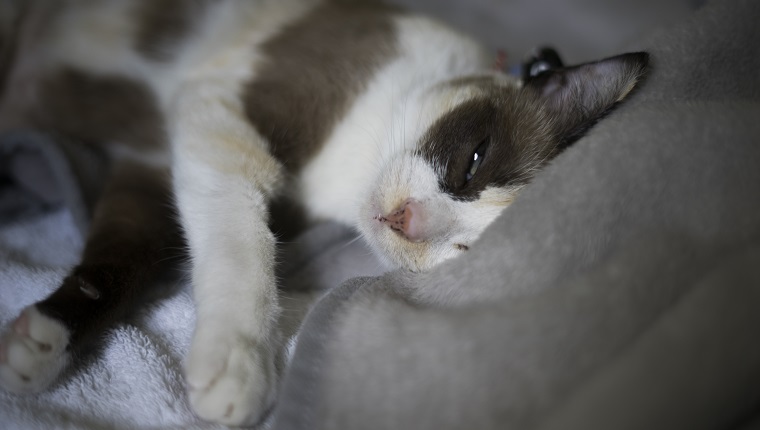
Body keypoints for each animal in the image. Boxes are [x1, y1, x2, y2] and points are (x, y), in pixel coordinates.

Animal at [0, 0, 648, 424]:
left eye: (466, 251)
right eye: (473, 161)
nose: (409, 221)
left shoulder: (149, 164)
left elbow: (118, 266)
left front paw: (42, 344)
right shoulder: (218, 114)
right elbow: (243, 244)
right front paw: (241, 361)